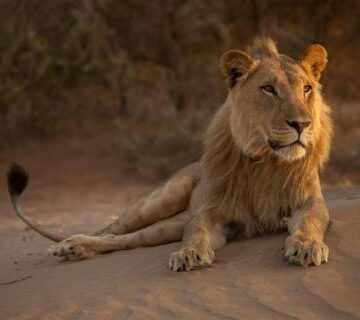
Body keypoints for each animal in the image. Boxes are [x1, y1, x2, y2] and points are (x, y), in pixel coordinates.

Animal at [6, 38, 332, 272]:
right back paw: (66, 245)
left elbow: (312, 222)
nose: (302, 125)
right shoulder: (212, 212)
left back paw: (76, 249)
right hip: (160, 200)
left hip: (168, 226)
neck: (268, 161)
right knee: (112, 228)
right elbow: (197, 232)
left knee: (123, 239)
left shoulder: (309, 201)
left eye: (306, 89)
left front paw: (306, 246)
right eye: (268, 89)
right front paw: (189, 254)